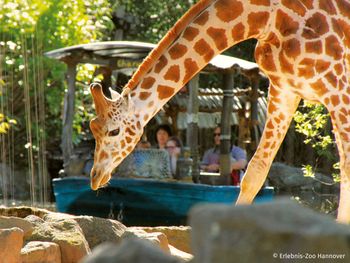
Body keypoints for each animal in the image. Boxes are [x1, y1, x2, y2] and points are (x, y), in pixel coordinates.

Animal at [89, 0, 350, 223]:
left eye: (114, 131)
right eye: (93, 129)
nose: (95, 176)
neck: (267, 17)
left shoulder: (338, 87)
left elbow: (346, 168)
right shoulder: (284, 89)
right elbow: (255, 172)